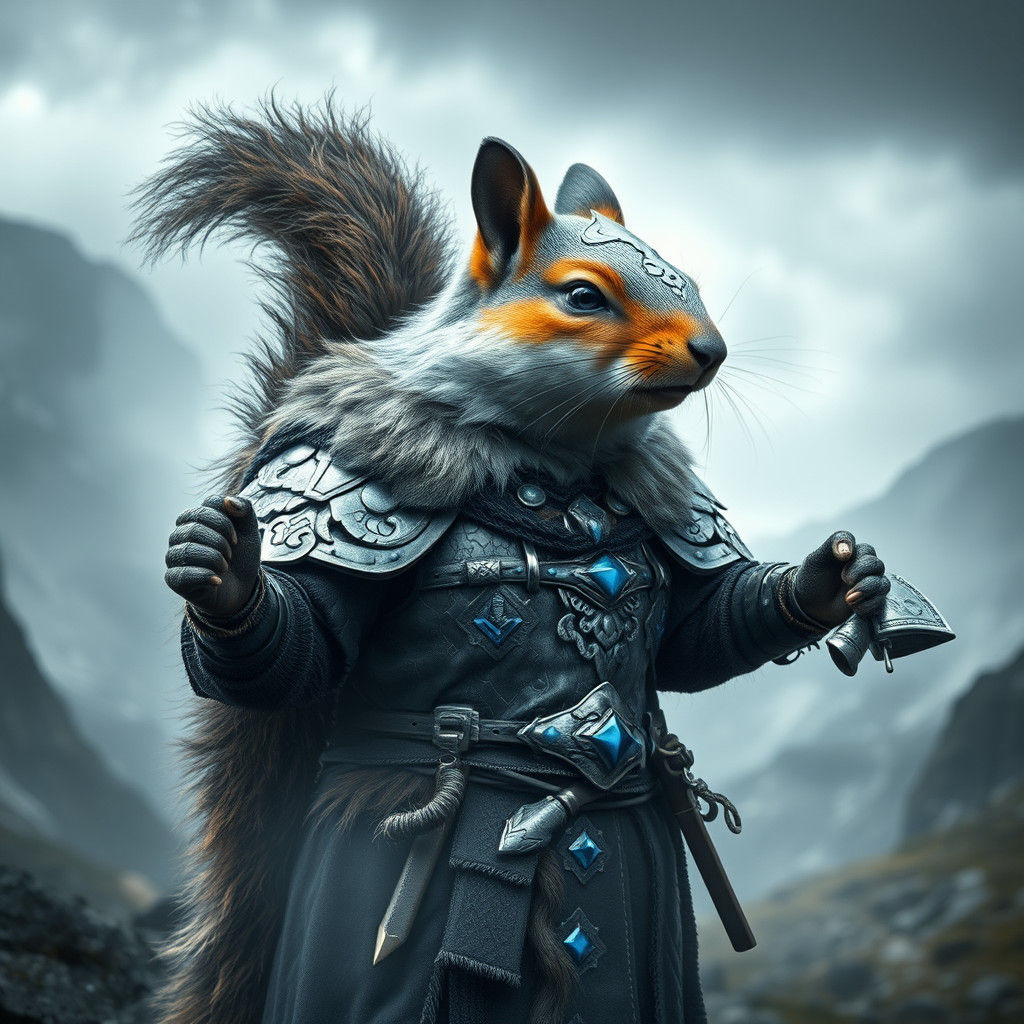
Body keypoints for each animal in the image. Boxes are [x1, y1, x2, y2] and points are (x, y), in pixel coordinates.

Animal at [133, 97, 890, 1024]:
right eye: (582, 296)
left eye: (691, 283)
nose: (711, 351)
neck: (548, 454)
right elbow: (307, 644)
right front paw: (229, 573)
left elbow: (695, 638)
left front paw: (829, 580)